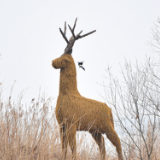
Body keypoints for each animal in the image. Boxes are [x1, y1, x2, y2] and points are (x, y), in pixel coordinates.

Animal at [52, 18, 123, 159]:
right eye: (61, 54)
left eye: (65, 58)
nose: (53, 62)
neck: (66, 93)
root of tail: (110, 110)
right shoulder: (62, 124)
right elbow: (64, 148)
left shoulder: (71, 123)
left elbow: (73, 147)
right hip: (95, 130)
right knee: (102, 146)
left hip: (107, 127)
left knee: (117, 142)